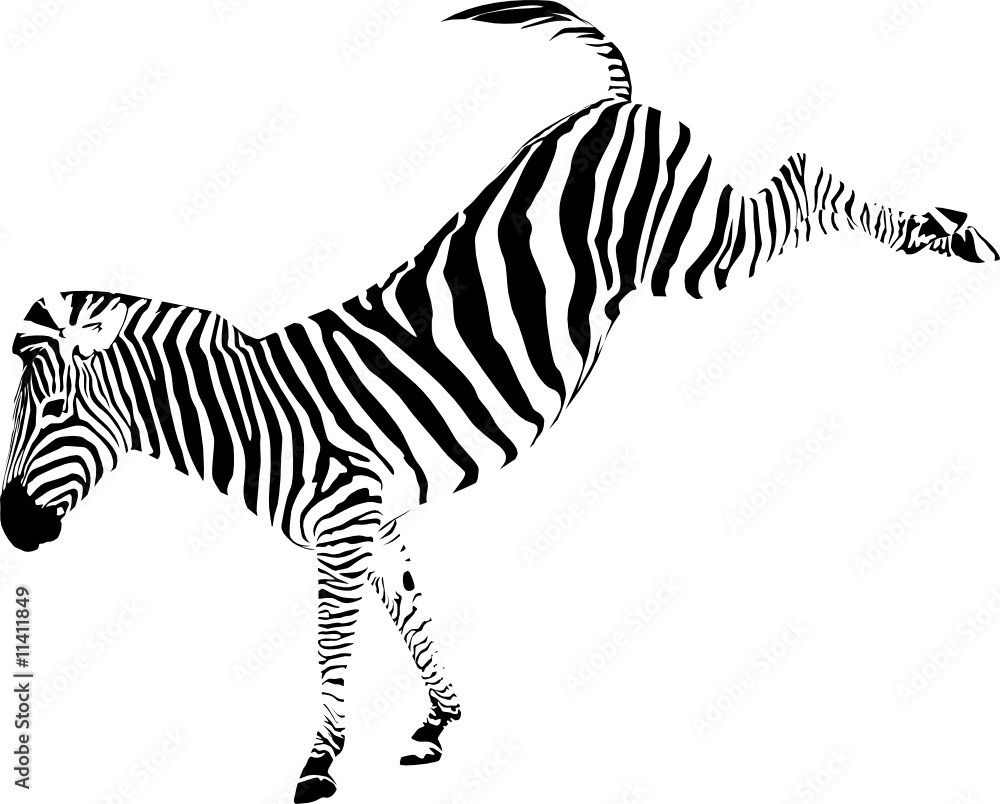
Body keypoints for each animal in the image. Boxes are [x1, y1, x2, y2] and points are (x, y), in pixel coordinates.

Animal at [2, 2, 997, 802]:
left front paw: (319, 764)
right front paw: (440, 720)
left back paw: (946, 233)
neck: (256, 414)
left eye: (52, 411)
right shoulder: (376, 520)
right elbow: (411, 608)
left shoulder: (342, 526)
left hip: (691, 250)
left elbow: (332, 647)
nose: (13, 528)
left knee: (802, 175)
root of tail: (610, 102)